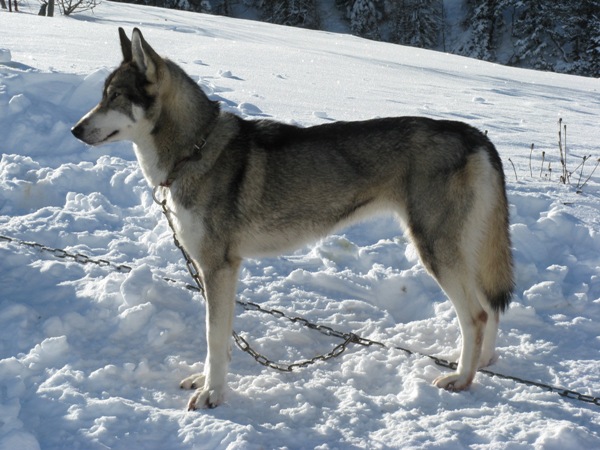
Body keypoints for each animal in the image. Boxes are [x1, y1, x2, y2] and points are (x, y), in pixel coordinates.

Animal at [70, 26, 510, 410]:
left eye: (115, 97)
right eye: (102, 96)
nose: (75, 129)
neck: (193, 150)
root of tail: (474, 135)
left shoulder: (217, 267)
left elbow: (214, 337)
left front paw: (213, 395)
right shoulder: (224, 270)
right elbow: (221, 340)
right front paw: (208, 380)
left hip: (434, 249)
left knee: (476, 314)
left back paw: (461, 378)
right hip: (461, 249)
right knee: (490, 307)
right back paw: (480, 362)